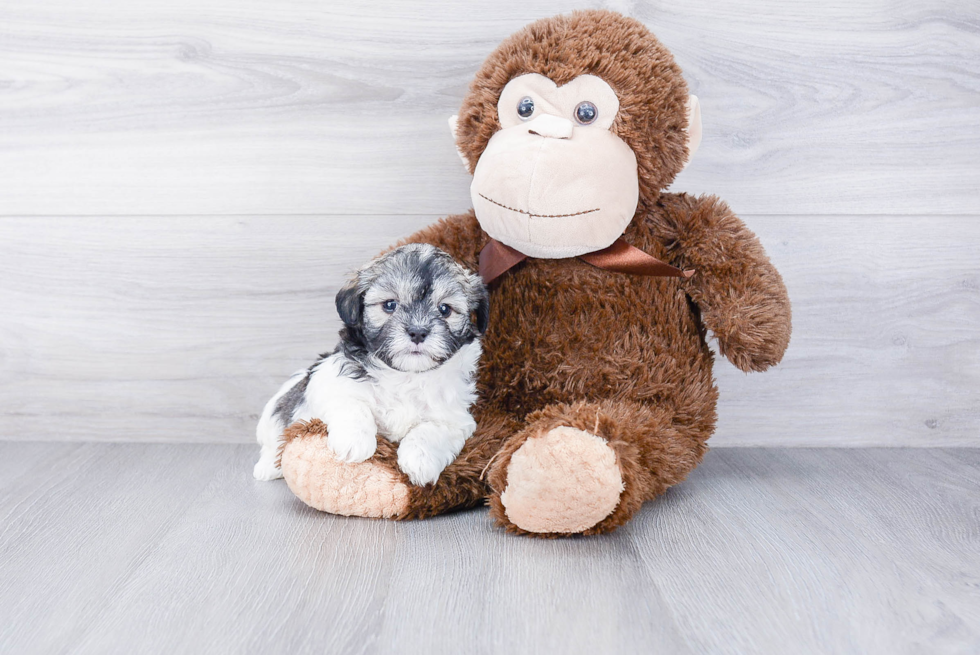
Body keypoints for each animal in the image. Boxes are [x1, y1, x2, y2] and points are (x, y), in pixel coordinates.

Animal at [253, 245, 490, 486]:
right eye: (390, 305)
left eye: (445, 309)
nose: (417, 331)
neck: (406, 376)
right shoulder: (328, 383)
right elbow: (354, 404)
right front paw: (354, 441)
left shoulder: (455, 418)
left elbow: (432, 430)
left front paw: (419, 460)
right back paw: (268, 467)